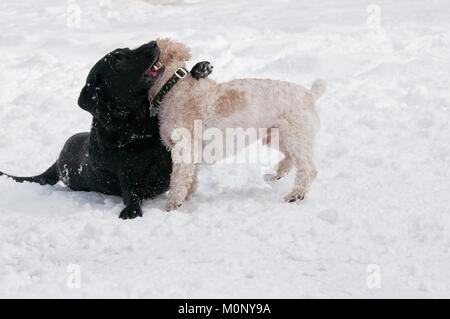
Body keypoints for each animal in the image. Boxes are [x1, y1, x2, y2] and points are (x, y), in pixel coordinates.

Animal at [149, 38, 326, 211]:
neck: (173, 88)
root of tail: (310, 94)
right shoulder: (194, 151)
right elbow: (191, 177)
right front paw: (187, 196)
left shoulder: (183, 148)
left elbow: (178, 178)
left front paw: (172, 204)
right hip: (276, 136)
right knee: (290, 159)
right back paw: (276, 174)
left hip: (295, 136)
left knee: (308, 169)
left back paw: (296, 195)